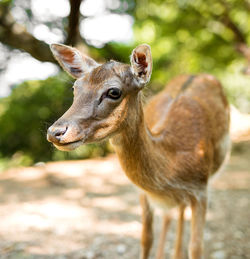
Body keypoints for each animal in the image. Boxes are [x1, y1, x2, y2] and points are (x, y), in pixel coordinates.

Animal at [47, 43, 230, 258]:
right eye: (75, 88)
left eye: (114, 92)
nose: (55, 132)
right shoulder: (143, 193)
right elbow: (145, 238)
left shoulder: (201, 188)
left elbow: (196, 246)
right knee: (170, 214)